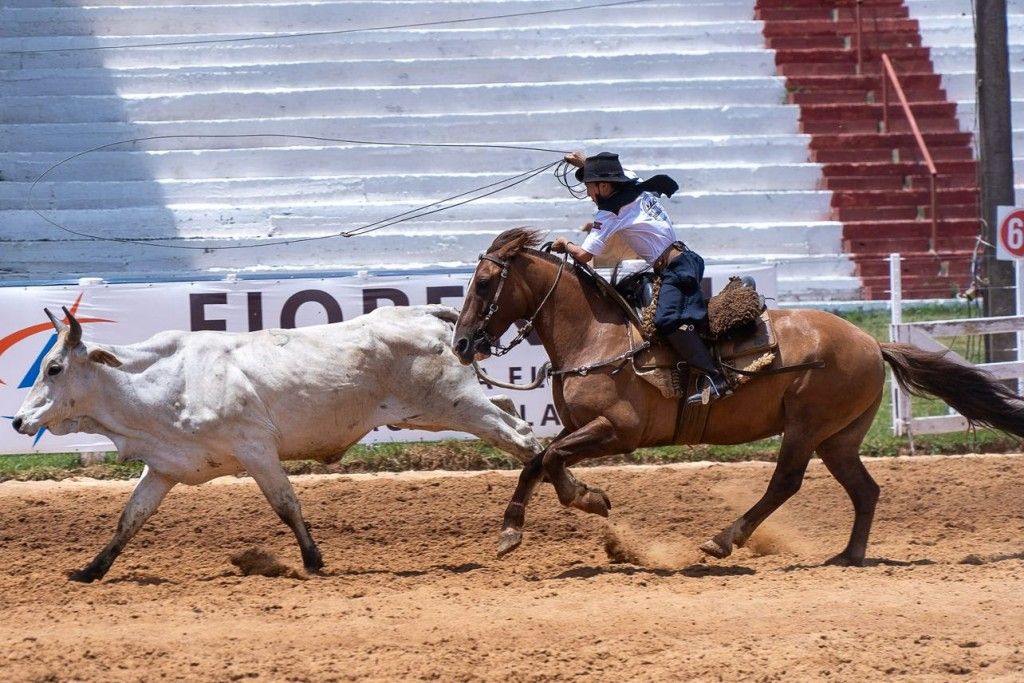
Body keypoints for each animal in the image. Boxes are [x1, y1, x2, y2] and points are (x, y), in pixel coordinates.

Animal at [452, 229, 1024, 565]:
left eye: (482, 283)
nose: (460, 344)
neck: (599, 336)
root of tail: (871, 342)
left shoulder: (618, 431)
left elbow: (548, 460)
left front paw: (577, 505)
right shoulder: (579, 427)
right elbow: (541, 459)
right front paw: (533, 523)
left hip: (807, 427)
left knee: (787, 482)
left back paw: (725, 539)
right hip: (839, 438)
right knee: (865, 491)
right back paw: (849, 556)